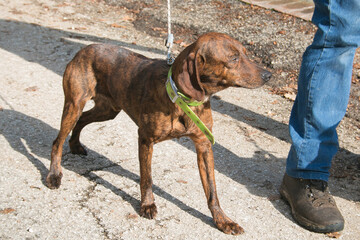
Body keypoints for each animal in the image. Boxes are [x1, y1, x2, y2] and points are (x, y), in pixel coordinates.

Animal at [47, 31, 272, 234]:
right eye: (233, 59)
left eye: (246, 53)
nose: (268, 75)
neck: (182, 99)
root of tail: (84, 49)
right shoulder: (145, 140)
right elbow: (147, 179)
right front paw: (147, 205)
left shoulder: (203, 146)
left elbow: (212, 191)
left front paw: (222, 220)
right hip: (74, 104)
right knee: (57, 141)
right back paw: (54, 174)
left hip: (107, 110)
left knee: (82, 120)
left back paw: (75, 145)